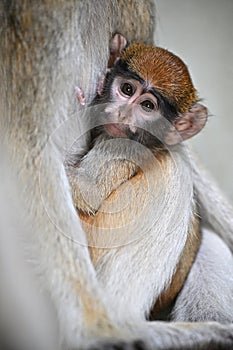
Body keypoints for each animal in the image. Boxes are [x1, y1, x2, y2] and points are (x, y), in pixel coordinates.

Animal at [0, 2, 232, 350]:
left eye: (147, 106)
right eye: (126, 89)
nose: (121, 113)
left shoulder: (123, 144)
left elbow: (85, 186)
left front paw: (97, 331)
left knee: (173, 167)